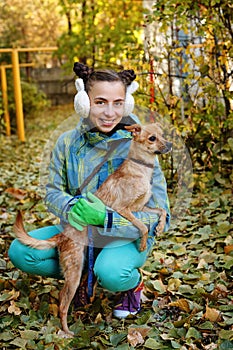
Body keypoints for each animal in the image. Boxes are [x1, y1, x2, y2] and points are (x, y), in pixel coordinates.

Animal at [13, 122, 172, 334]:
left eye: (163, 134)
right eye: (152, 138)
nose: (170, 144)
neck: (141, 167)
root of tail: (63, 236)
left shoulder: (141, 207)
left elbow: (161, 210)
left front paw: (160, 226)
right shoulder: (122, 209)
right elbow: (142, 227)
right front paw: (142, 243)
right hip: (74, 268)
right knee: (63, 304)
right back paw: (66, 332)